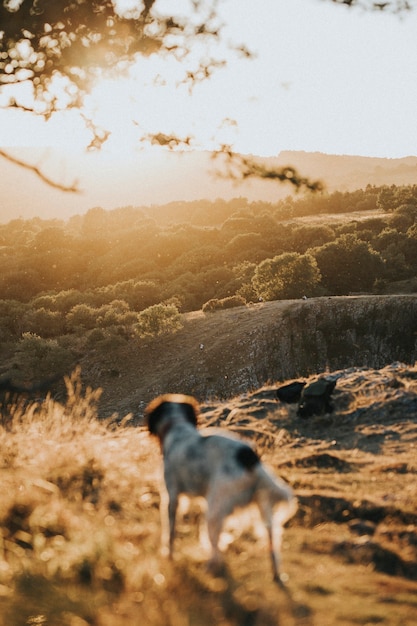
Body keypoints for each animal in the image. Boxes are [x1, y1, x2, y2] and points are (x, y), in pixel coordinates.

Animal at [145, 392, 298, 584]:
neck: (177, 426)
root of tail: (251, 461)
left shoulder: (172, 495)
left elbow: (170, 531)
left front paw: (169, 557)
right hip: (260, 507)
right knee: (272, 541)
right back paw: (276, 574)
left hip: (215, 510)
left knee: (216, 551)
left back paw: (208, 570)